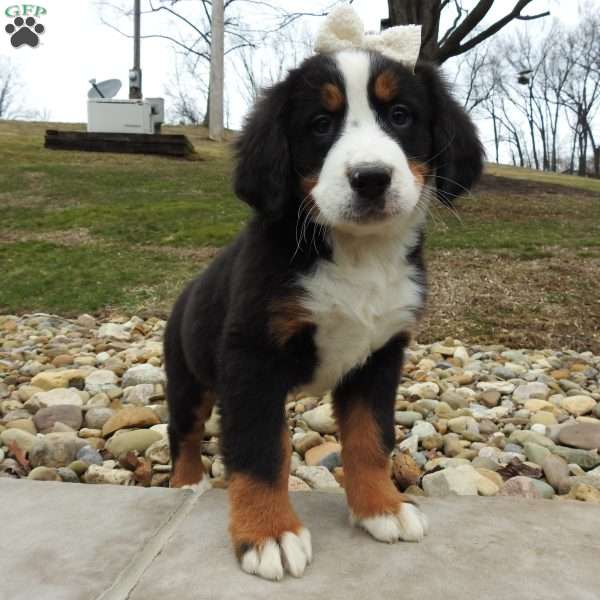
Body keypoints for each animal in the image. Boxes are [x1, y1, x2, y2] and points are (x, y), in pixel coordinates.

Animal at [164, 48, 482, 580]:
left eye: (400, 115)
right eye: (319, 124)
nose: (371, 178)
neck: (359, 256)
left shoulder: (380, 356)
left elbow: (370, 437)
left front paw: (383, 508)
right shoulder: (252, 358)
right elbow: (258, 449)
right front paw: (268, 533)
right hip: (188, 377)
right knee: (183, 432)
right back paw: (185, 484)